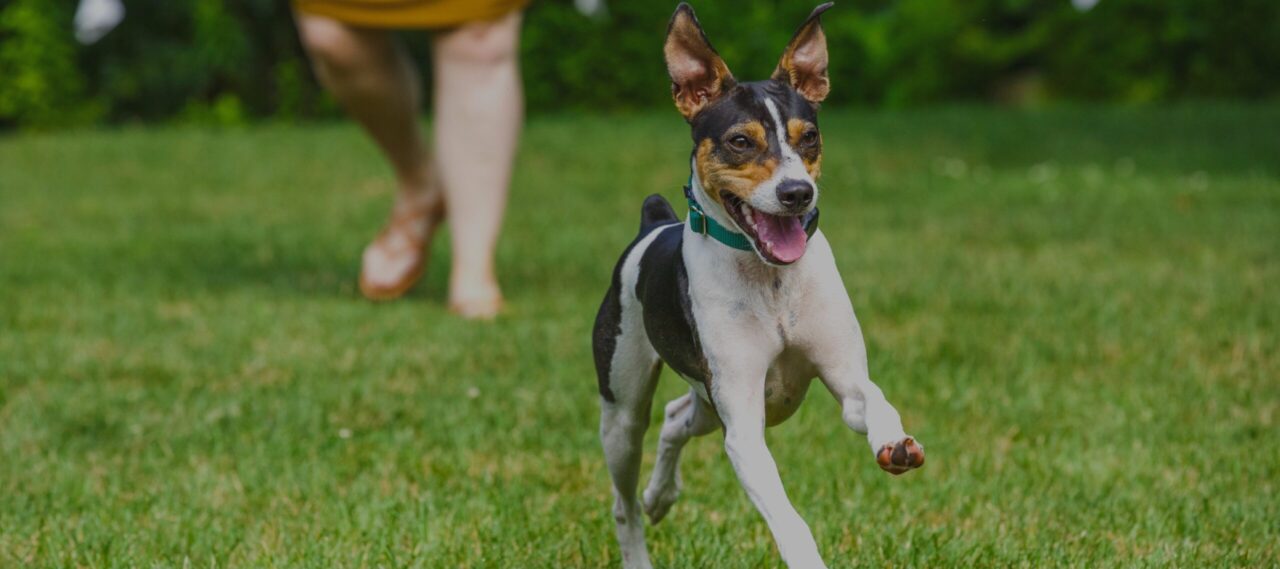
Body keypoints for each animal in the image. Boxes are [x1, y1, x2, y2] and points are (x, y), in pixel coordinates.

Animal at [592, 3, 925, 568]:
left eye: (808, 137)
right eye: (740, 141)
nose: (797, 192)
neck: (770, 281)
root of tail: (653, 223)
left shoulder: (844, 380)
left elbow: (874, 401)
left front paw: (895, 442)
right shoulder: (744, 428)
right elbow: (788, 521)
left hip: (705, 404)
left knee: (676, 418)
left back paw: (662, 495)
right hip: (622, 410)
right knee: (624, 500)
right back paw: (641, 528)